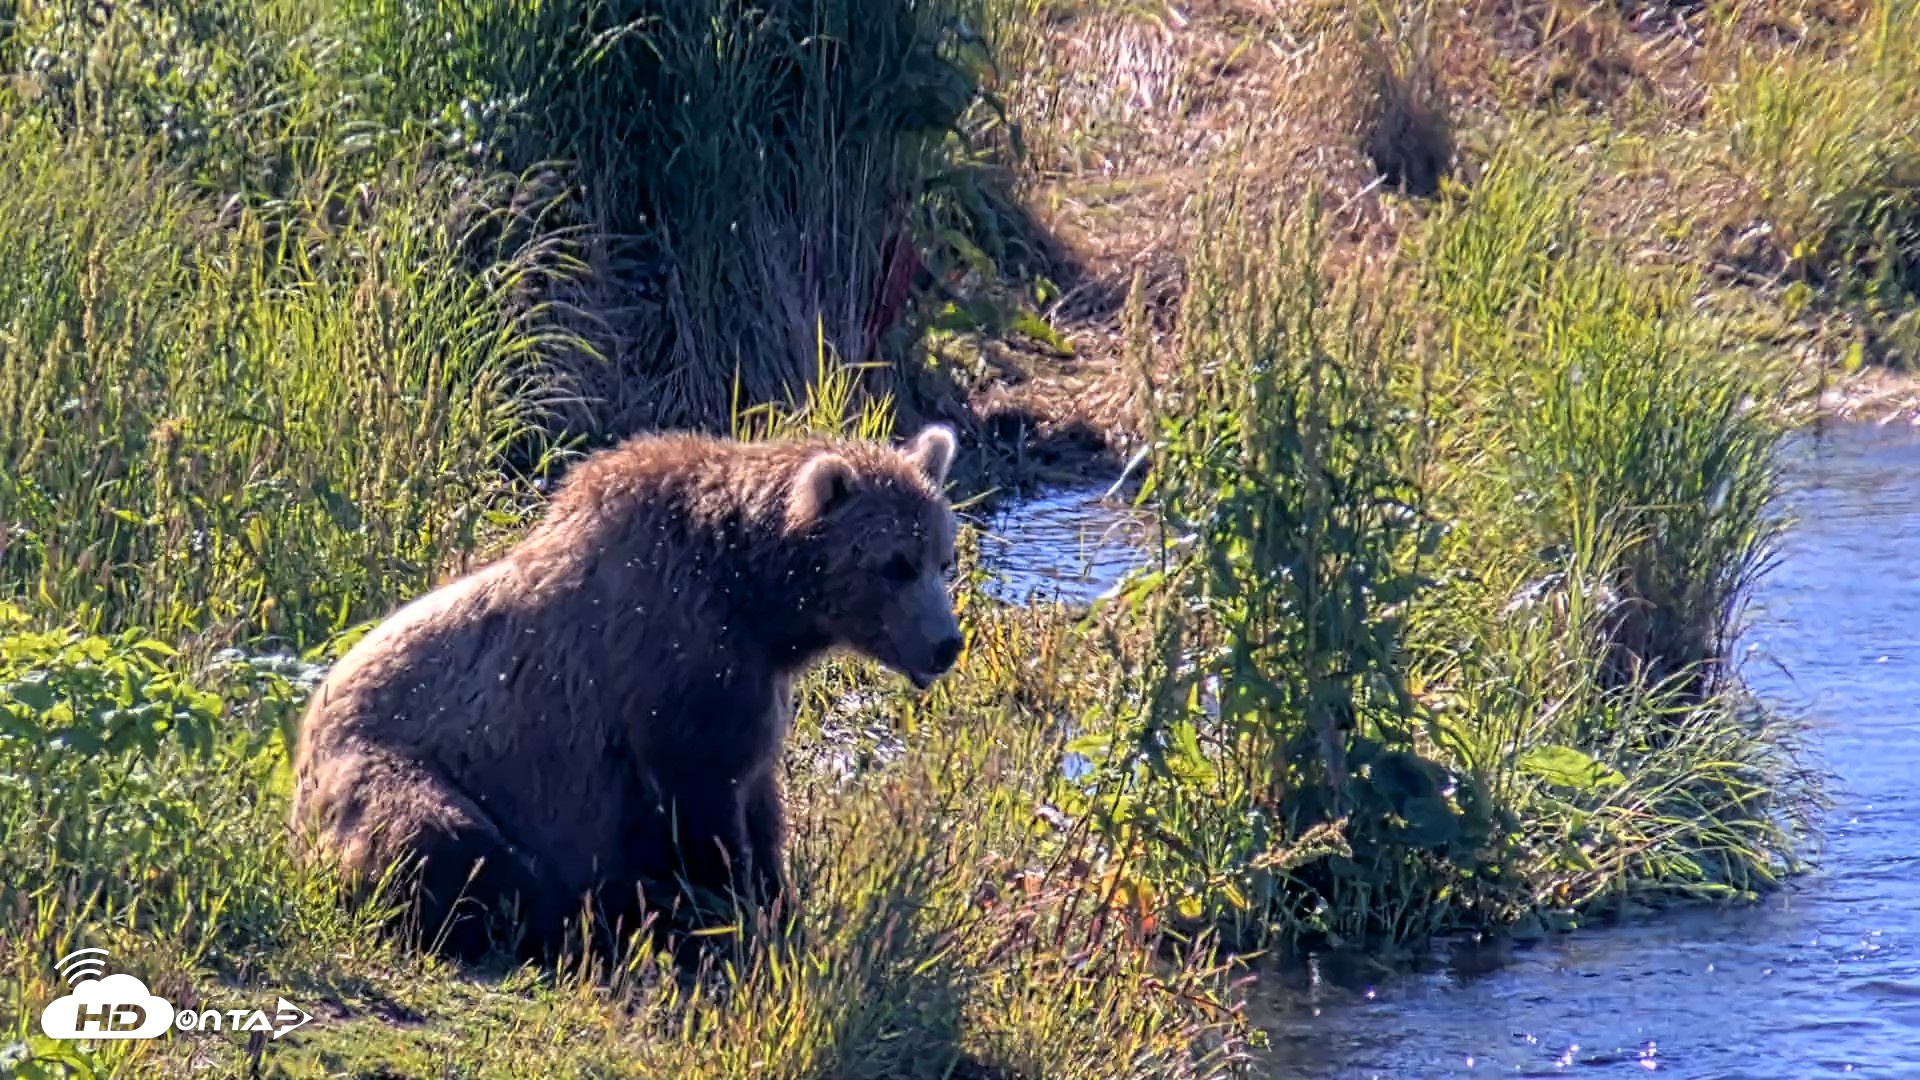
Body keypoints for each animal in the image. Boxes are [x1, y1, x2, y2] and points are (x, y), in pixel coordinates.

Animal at [287, 424, 963, 962]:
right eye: (895, 563)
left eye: (942, 558)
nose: (946, 644)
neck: (756, 598)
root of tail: (303, 735)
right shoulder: (675, 666)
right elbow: (703, 806)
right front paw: (735, 915)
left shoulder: (752, 684)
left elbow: (759, 798)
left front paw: (780, 904)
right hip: (389, 769)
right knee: (447, 843)